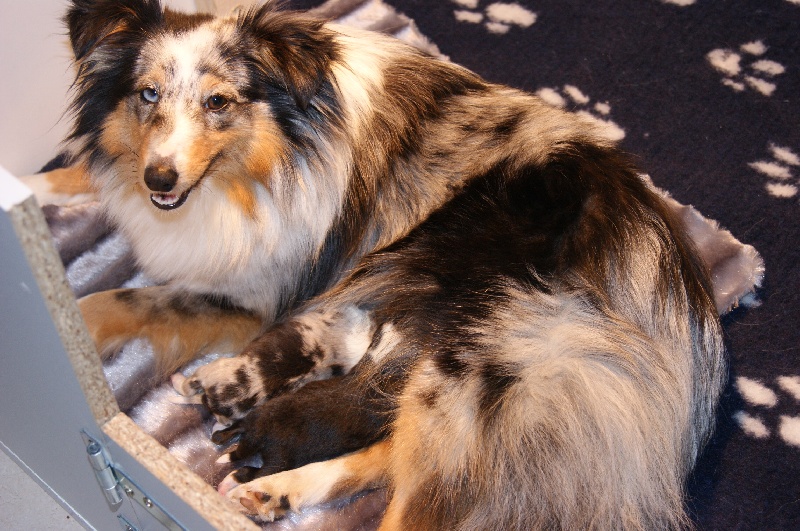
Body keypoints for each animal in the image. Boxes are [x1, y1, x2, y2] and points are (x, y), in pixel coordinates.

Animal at [34, 2, 728, 528]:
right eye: (146, 94)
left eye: (219, 102)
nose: (160, 178)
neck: (275, 155)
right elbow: (87, 178)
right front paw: (36, 190)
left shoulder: (254, 294)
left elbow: (117, 300)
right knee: (392, 446)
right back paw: (276, 490)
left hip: (473, 367)